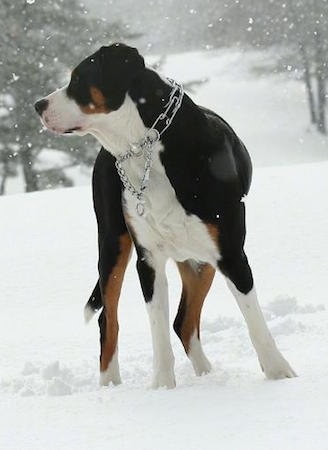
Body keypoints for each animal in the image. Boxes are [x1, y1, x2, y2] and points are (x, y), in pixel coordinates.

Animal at [34, 41, 296, 386]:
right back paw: (109, 386)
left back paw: (207, 375)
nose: (38, 105)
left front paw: (279, 374)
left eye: (78, 79)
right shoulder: (149, 259)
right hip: (113, 242)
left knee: (183, 322)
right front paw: (162, 387)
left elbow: (255, 321)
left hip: (200, 261)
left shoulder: (230, 253)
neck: (145, 148)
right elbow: (157, 330)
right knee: (110, 320)